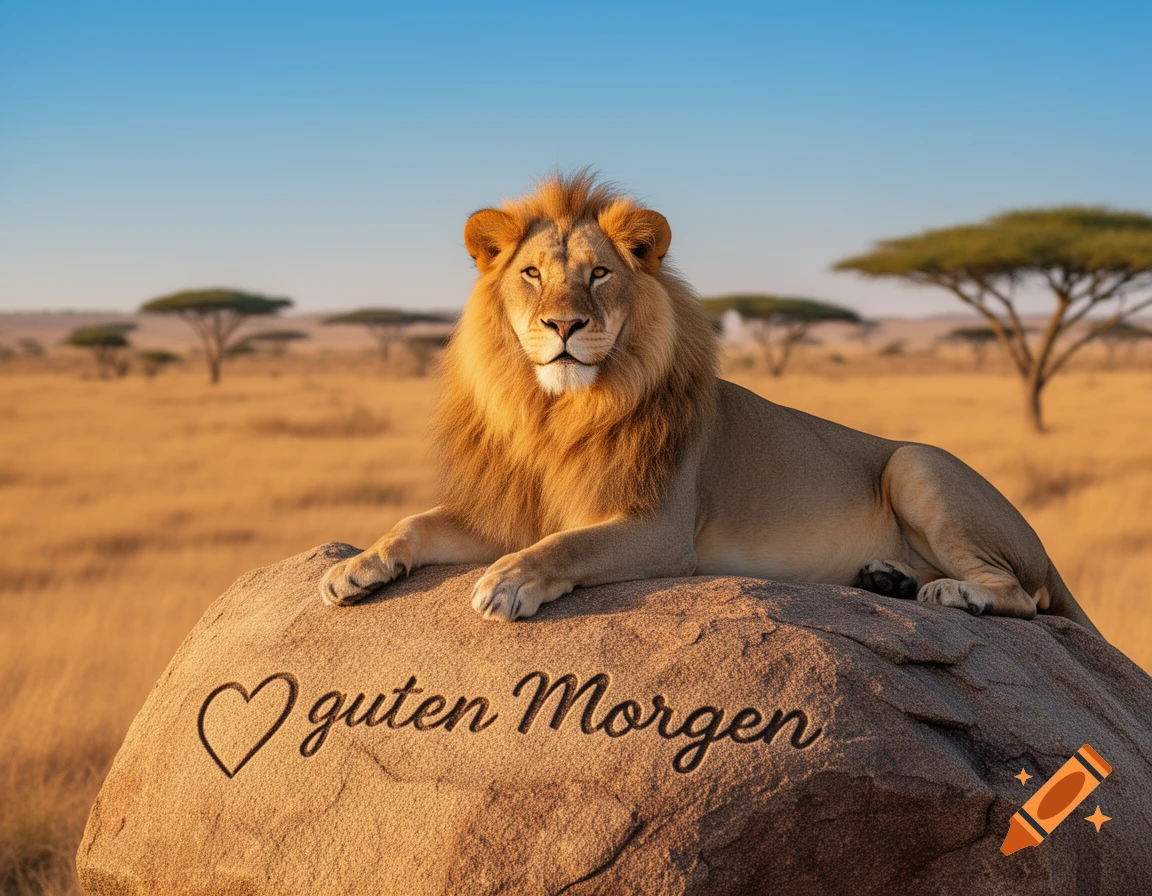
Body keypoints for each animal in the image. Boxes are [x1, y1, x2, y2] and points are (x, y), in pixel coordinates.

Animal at [320, 172, 1101, 637]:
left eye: (598, 275)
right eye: (533, 274)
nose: (564, 325)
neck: (556, 415)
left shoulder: (661, 529)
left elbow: (565, 544)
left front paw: (508, 583)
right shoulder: (506, 512)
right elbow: (415, 523)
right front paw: (354, 569)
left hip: (916, 464)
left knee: (1022, 595)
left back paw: (954, 596)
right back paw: (890, 577)